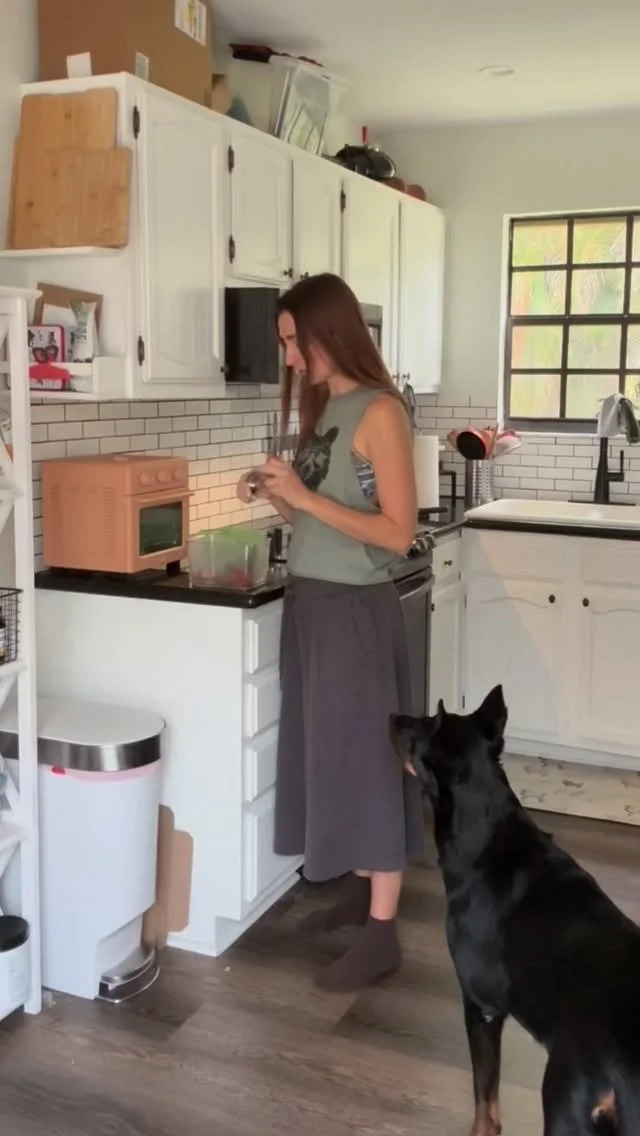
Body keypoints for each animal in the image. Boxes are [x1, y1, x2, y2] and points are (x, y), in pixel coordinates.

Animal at [390, 686, 640, 1136]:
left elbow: (484, 1097)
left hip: (564, 1100)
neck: (487, 838)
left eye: (422, 724)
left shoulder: (482, 1007)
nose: (390, 716)